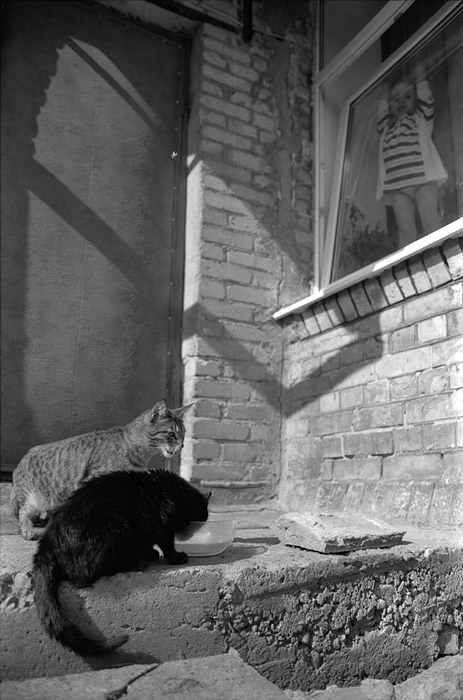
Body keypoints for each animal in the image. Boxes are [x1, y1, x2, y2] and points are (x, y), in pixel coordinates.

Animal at [10, 400, 191, 540]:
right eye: (172, 434)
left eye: (184, 434)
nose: (182, 446)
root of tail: (25, 455)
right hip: (33, 497)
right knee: (22, 511)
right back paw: (27, 529)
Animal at [33, 468, 210, 655]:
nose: (187, 536)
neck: (176, 492)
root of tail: (48, 539)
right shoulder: (164, 523)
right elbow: (168, 546)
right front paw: (177, 557)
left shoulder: (146, 529)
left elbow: (147, 544)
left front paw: (151, 554)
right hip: (115, 522)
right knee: (82, 578)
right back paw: (132, 564)